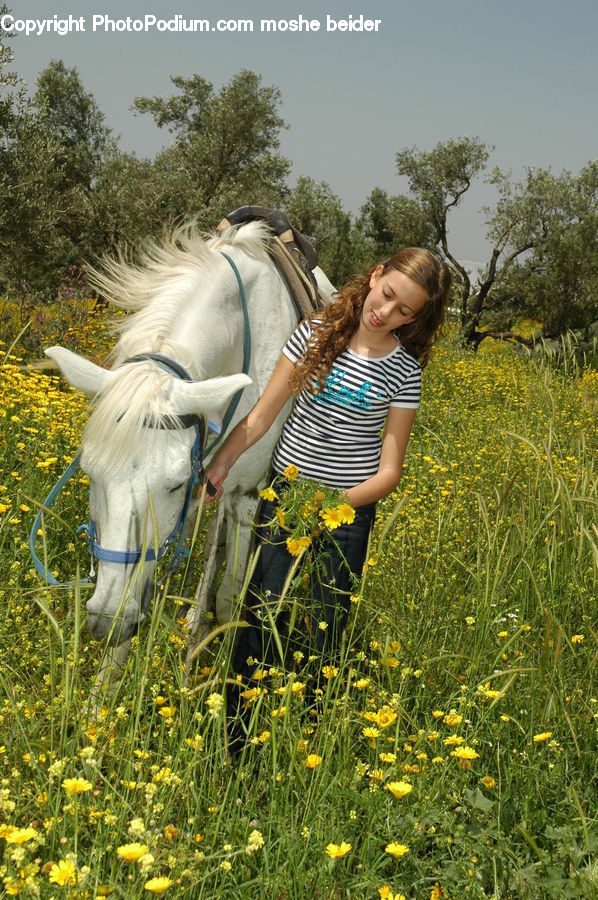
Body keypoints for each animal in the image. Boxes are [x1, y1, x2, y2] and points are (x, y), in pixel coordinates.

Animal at [46, 220, 334, 676]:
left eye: (176, 484)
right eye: (90, 472)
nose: (106, 619)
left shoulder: (245, 496)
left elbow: (230, 599)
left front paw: (219, 683)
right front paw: (101, 690)